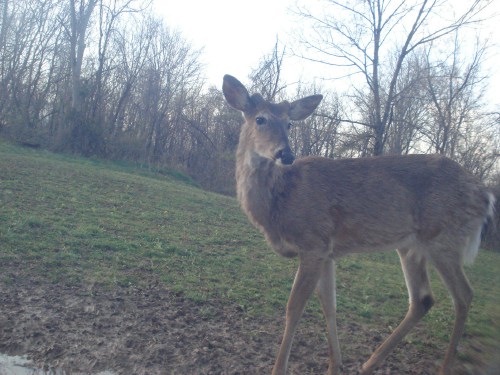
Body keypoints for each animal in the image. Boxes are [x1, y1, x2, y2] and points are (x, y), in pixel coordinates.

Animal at [223, 74, 496, 375]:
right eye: (260, 119)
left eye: (289, 123)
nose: (286, 154)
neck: (280, 202)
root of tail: (486, 196)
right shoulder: (327, 251)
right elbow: (329, 306)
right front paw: (335, 365)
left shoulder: (313, 242)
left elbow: (294, 308)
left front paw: (279, 369)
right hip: (411, 245)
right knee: (423, 299)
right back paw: (369, 363)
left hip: (444, 238)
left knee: (464, 295)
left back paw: (443, 366)